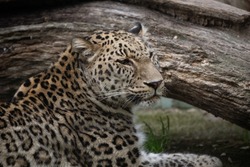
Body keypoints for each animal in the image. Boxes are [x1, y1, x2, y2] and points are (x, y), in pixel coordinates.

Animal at [0, 22, 223, 167]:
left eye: (151, 56)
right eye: (125, 62)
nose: (156, 83)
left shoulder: (140, 155)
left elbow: (168, 156)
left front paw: (209, 159)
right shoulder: (128, 163)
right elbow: (168, 162)